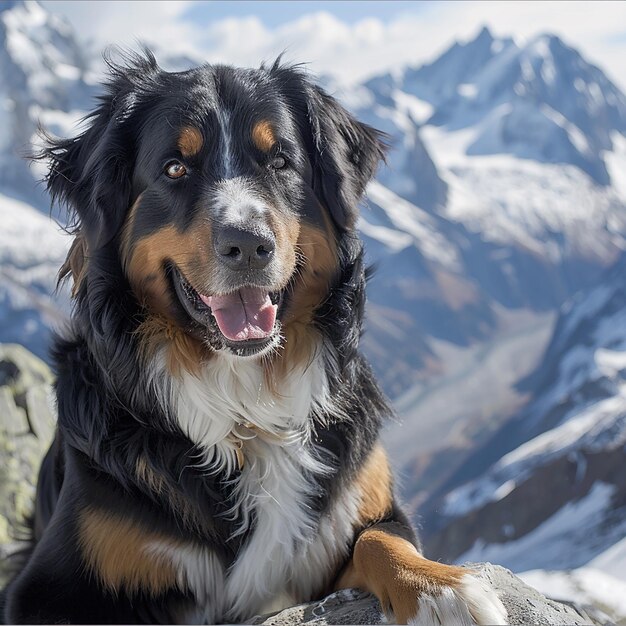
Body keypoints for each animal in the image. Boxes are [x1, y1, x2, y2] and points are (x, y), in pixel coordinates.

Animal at [1, 51, 508, 620]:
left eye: (281, 161)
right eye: (175, 168)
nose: (248, 244)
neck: (246, 406)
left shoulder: (360, 504)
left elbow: (380, 539)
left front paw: (441, 589)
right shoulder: (44, 588)